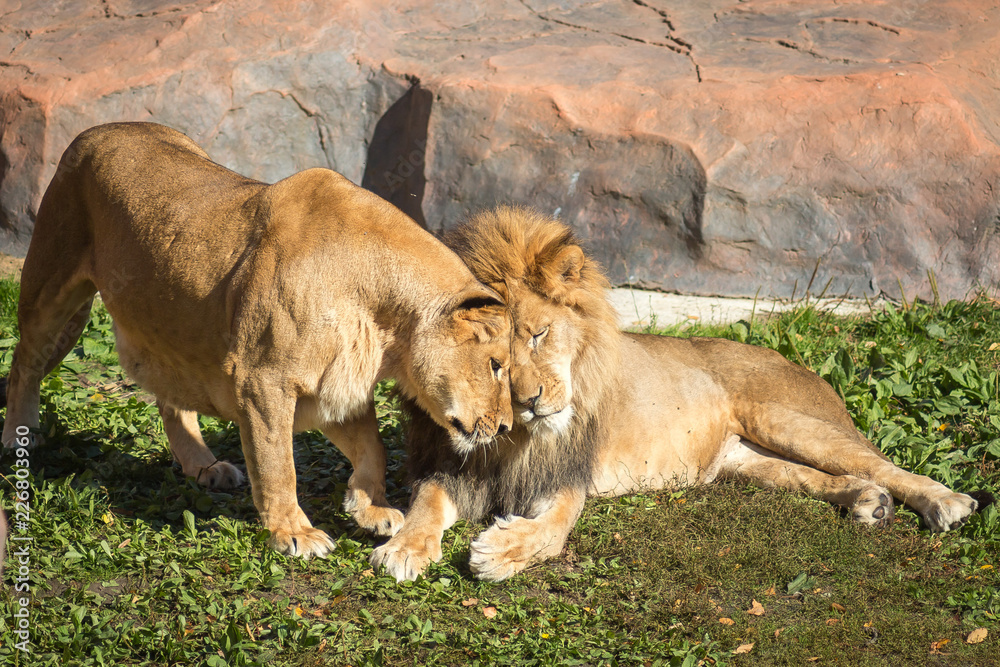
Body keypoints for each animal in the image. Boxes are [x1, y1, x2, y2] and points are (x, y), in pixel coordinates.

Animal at [0, 122, 514, 559]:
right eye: (496, 365)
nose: (508, 426)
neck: (386, 326)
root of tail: (98, 129)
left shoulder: (337, 386)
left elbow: (373, 448)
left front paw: (368, 508)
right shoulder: (263, 380)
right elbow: (277, 464)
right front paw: (294, 532)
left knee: (170, 396)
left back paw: (203, 466)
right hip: (52, 287)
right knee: (24, 362)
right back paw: (18, 437)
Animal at [371, 206, 986, 582]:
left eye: (539, 334)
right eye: (493, 360)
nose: (530, 401)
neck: (516, 437)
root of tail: (801, 365)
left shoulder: (566, 480)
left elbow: (551, 531)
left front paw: (499, 551)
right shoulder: (449, 467)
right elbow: (425, 506)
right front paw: (403, 547)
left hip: (784, 419)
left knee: (882, 464)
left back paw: (946, 503)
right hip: (749, 461)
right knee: (825, 477)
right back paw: (866, 502)